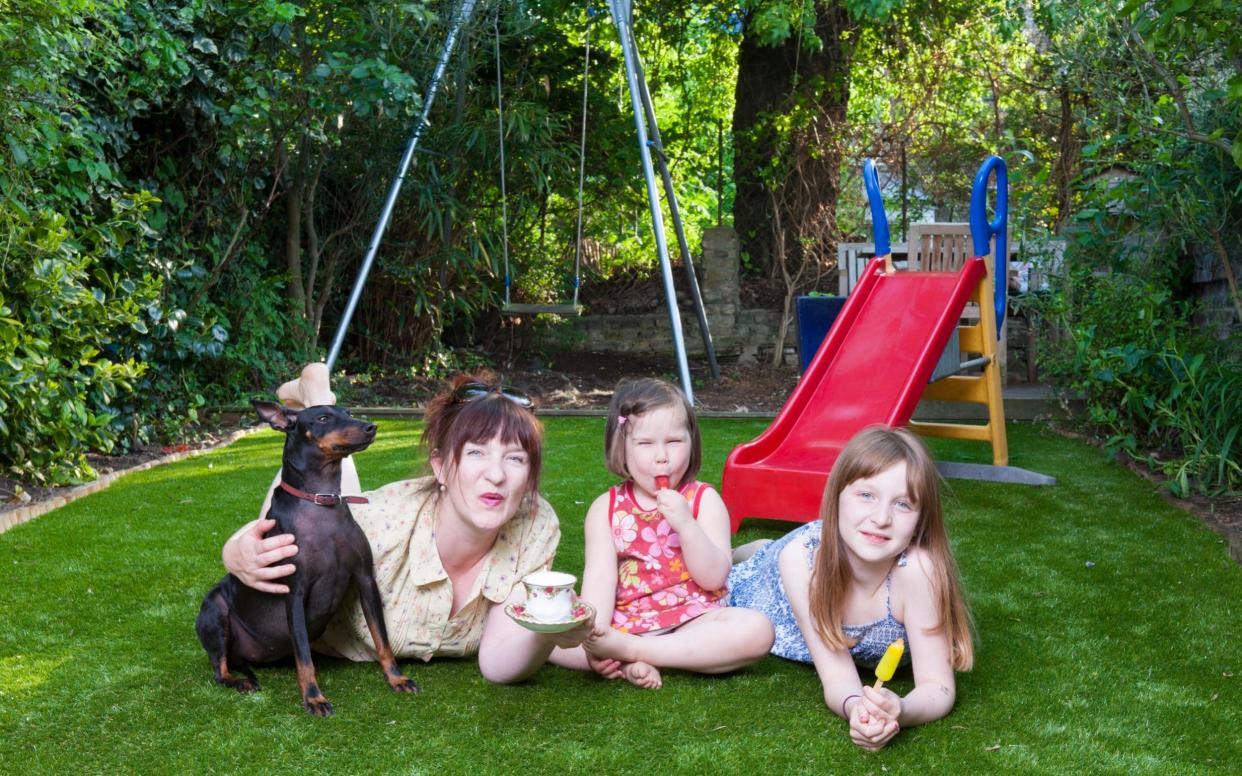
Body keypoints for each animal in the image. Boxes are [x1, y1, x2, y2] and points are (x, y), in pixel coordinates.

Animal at [194, 399, 417, 715]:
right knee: (219, 669)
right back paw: (240, 682)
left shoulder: (365, 580)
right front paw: (314, 697)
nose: (370, 427)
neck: (320, 502)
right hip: (215, 612)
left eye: (348, 412)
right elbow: (304, 657)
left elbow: (381, 638)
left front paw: (396, 678)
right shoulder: (295, 594)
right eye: (323, 418)